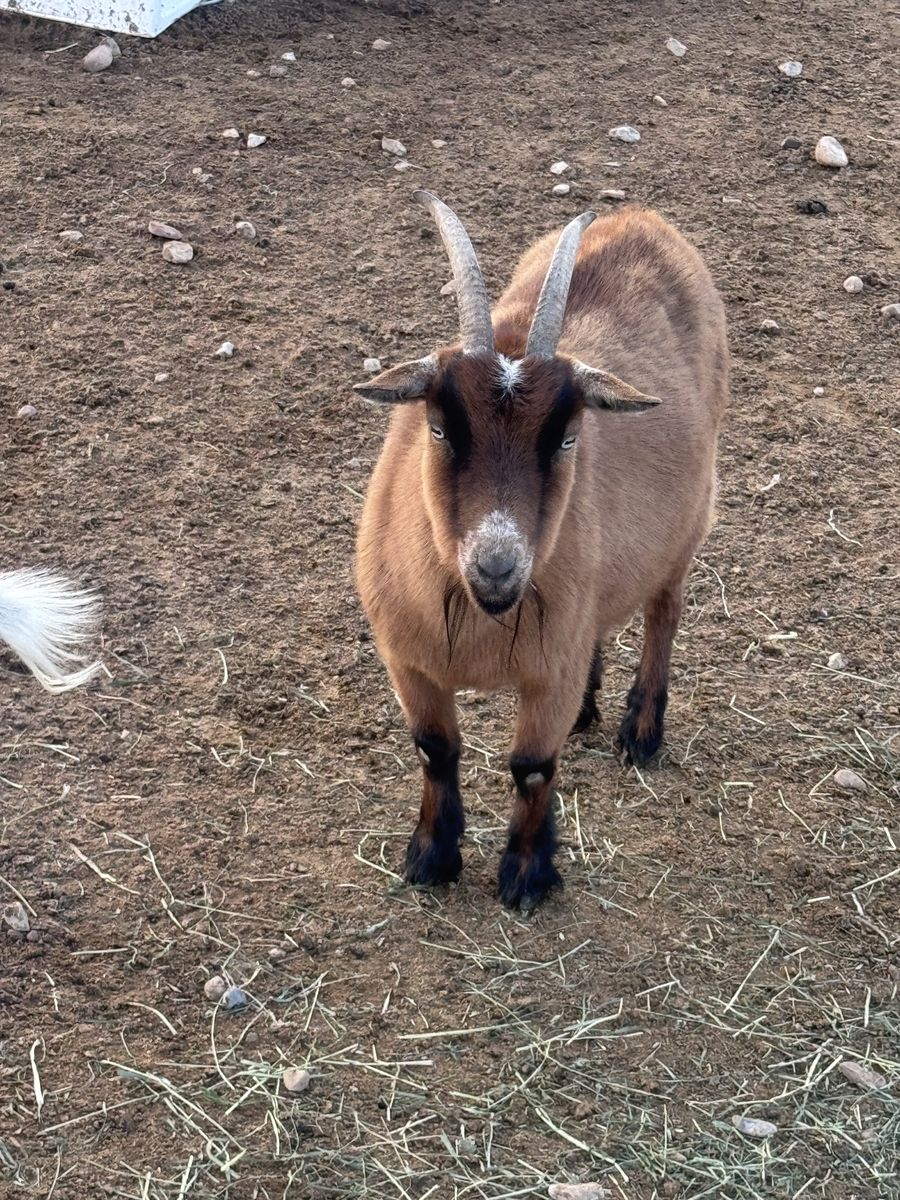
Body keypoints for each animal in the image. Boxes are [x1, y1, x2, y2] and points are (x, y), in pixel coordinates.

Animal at [355, 192, 728, 910]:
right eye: (438, 427)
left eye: (566, 438)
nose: (498, 567)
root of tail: (641, 218)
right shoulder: (408, 662)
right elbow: (434, 750)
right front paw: (431, 858)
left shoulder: (547, 671)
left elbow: (531, 769)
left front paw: (527, 876)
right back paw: (590, 708)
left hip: (692, 518)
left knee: (664, 613)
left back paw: (642, 732)